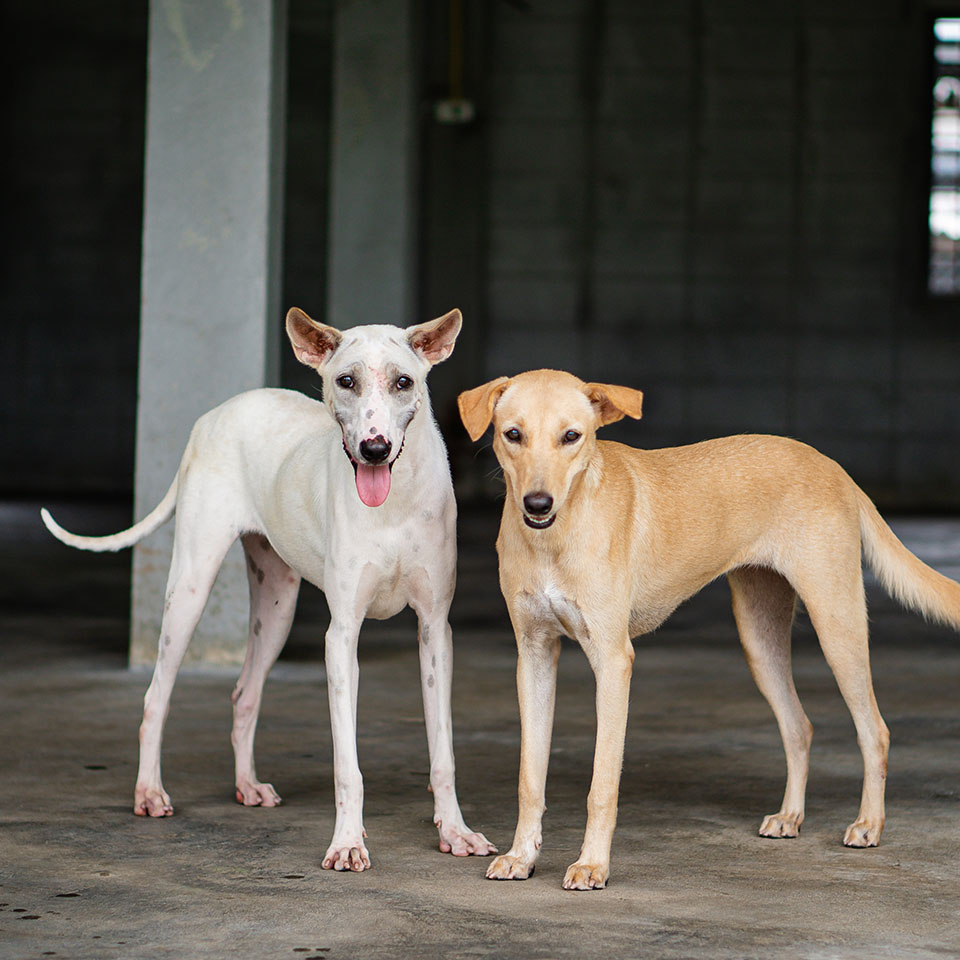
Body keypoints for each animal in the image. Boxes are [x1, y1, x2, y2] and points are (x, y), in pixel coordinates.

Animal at [41, 306, 496, 872]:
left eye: (403, 382)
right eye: (346, 381)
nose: (374, 449)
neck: (393, 501)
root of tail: (216, 412)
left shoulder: (435, 631)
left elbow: (444, 753)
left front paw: (455, 832)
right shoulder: (341, 637)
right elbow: (347, 763)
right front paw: (348, 842)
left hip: (277, 607)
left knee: (244, 694)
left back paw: (247, 786)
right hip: (190, 587)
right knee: (155, 697)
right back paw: (149, 792)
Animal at [456, 370, 960, 892]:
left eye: (571, 436)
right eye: (513, 434)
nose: (537, 503)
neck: (555, 538)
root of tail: (832, 465)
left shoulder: (613, 663)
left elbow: (602, 785)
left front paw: (593, 865)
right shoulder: (534, 657)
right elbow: (529, 779)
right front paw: (521, 856)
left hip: (837, 625)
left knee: (874, 731)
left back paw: (869, 825)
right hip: (759, 640)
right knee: (798, 726)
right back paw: (790, 816)